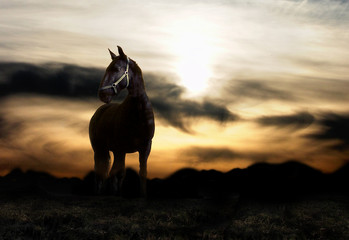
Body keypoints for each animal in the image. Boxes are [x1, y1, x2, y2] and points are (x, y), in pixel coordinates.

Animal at [89, 45, 154, 197]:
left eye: (116, 69)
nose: (102, 94)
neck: (139, 114)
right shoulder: (120, 148)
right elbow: (116, 173)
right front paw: (114, 194)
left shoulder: (145, 148)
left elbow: (142, 172)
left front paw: (142, 196)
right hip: (99, 149)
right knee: (100, 172)